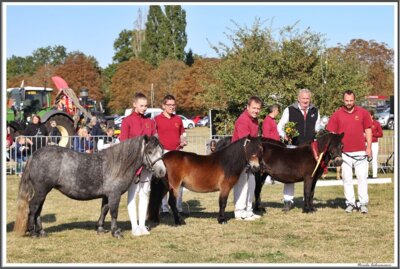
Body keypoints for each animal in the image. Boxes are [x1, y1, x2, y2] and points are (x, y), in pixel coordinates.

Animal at [14, 135, 166, 238]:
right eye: (150, 151)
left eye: (162, 152)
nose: (162, 172)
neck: (118, 164)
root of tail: (33, 155)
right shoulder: (114, 194)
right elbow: (114, 212)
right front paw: (116, 232)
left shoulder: (107, 195)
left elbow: (104, 210)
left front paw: (100, 229)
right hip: (41, 190)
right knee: (33, 207)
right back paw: (33, 232)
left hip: (43, 191)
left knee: (38, 209)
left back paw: (41, 231)